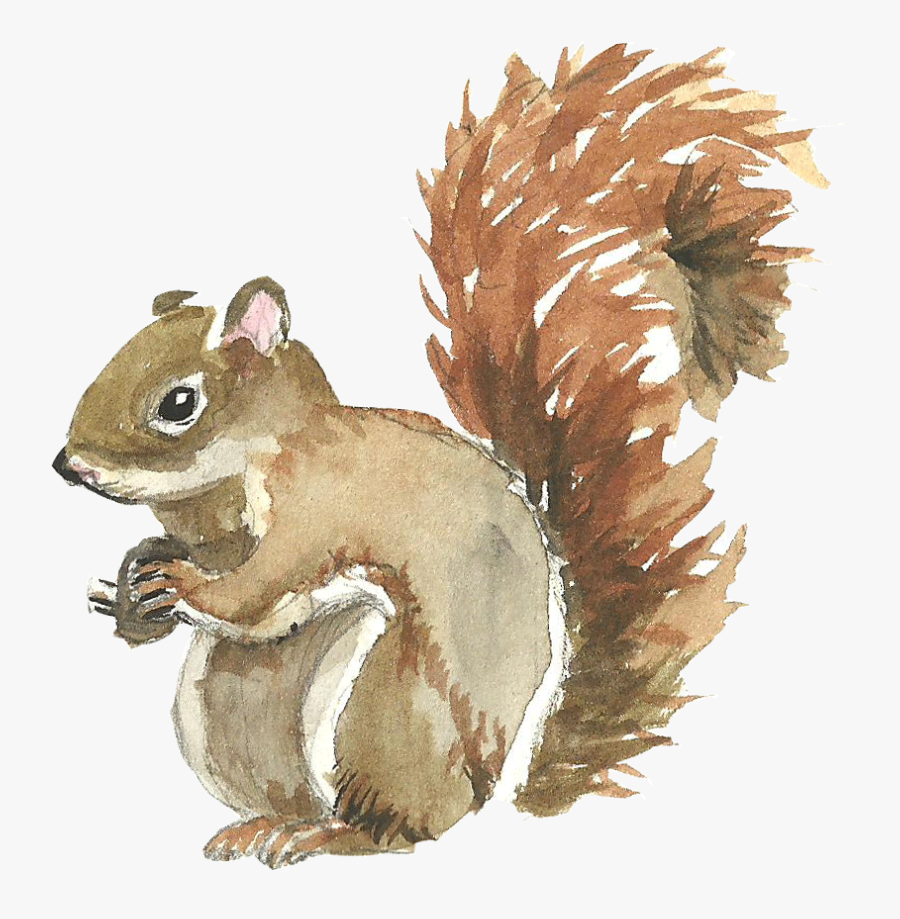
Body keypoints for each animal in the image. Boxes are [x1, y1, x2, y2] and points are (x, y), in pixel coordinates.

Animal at [53, 46, 824, 868]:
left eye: (178, 403)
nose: (67, 466)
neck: (228, 480)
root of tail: (488, 789)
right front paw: (132, 591)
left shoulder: (318, 505)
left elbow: (258, 592)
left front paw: (182, 584)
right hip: (228, 713)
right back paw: (261, 825)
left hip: (382, 713)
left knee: (395, 829)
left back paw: (327, 833)